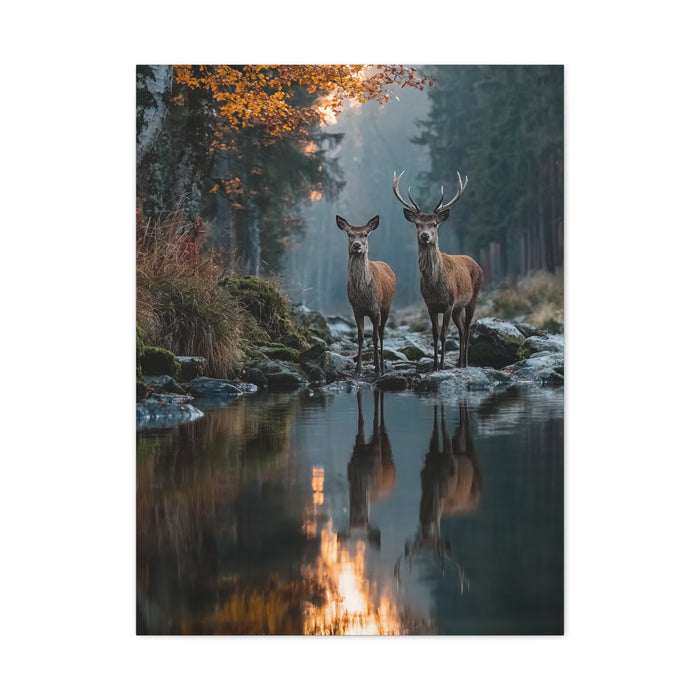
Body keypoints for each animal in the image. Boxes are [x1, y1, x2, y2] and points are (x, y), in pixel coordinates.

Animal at [336, 214, 396, 377]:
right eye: (349, 234)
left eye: (365, 234)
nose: (356, 245)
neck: (363, 295)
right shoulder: (356, 310)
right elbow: (361, 336)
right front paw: (358, 369)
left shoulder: (376, 309)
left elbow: (374, 337)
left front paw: (377, 369)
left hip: (387, 306)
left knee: (381, 333)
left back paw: (382, 365)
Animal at [392, 171, 482, 371]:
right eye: (417, 224)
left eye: (434, 224)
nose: (425, 235)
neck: (435, 286)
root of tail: (476, 263)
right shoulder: (430, 305)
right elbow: (434, 334)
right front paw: (434, 365)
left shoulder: (448, 303)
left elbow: (443, 334)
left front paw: (441, 366)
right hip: (458, 308)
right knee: (462, 330)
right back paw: (459, 362)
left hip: (472, 298)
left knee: (467, 328)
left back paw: (465, 362)